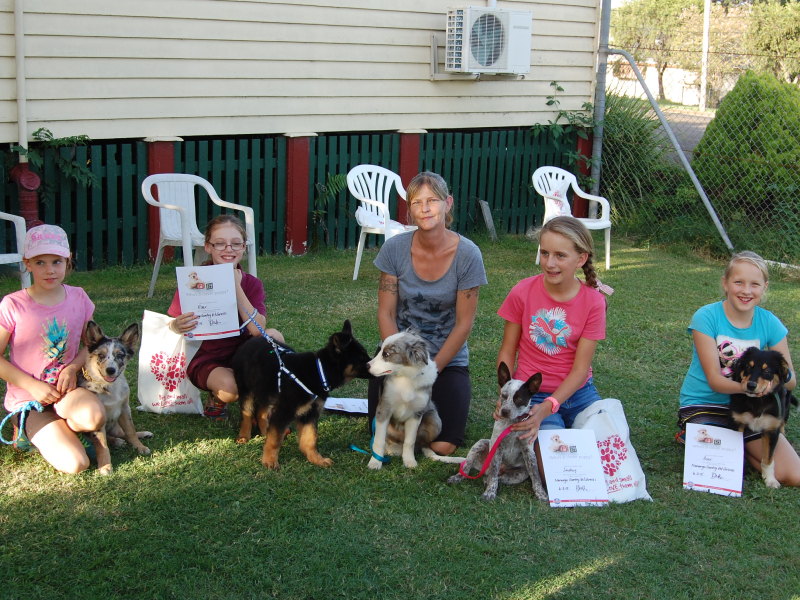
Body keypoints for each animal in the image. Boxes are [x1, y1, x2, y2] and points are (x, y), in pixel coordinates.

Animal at [736, 346, 796, 488]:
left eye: (767, 371)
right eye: (748, 367)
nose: (751, 385)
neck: (757, 402)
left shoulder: (771, 430)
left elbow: (768, 459)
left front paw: (770, 480)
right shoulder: (737, 421)